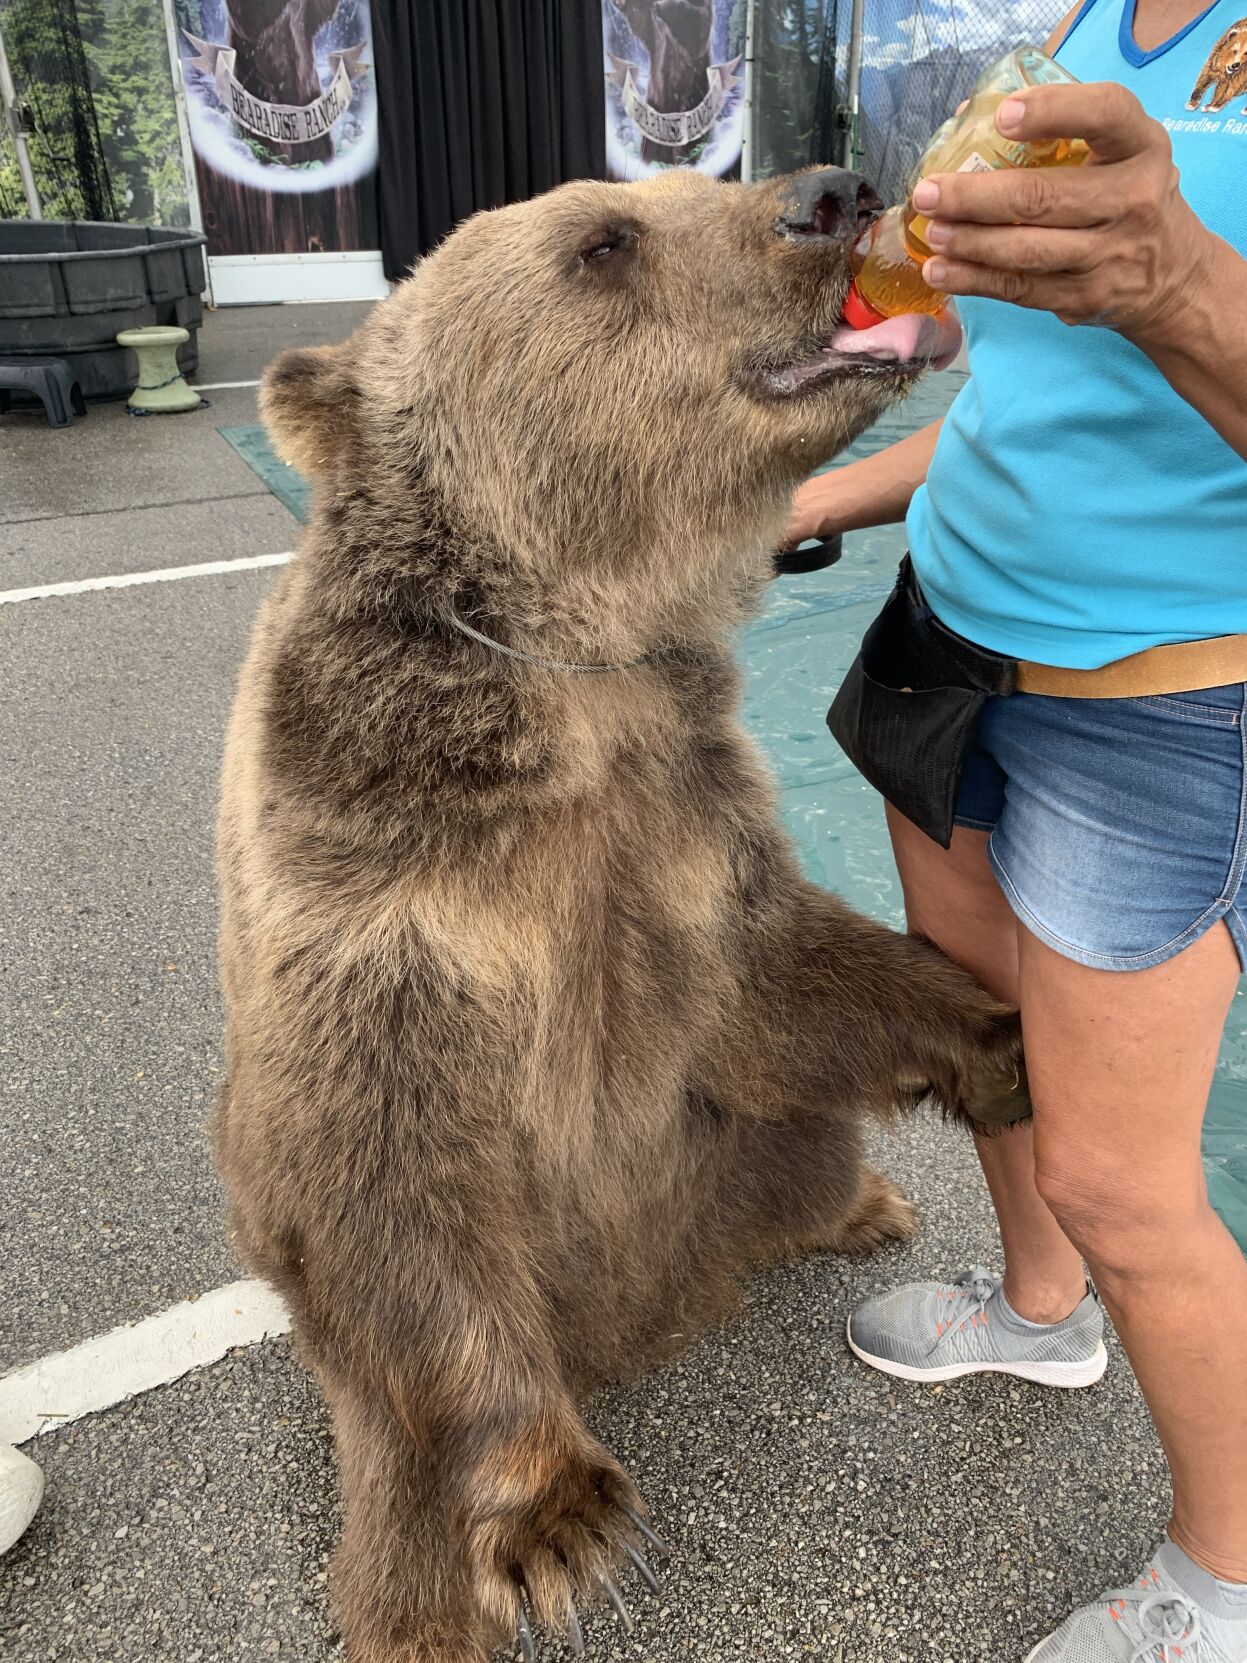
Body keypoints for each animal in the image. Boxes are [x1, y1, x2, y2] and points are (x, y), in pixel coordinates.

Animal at [216, 164, 1023, 1663]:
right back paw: (419, 1610)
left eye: (699, 179)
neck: (573, 657)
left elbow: (780, 968)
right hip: (376, 1428)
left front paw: (993, 1037)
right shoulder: (376, 871)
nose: (831, 192)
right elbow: (383, 1157)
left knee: (798, 1146)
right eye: (602, 240)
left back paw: (860, 1204)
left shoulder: (681, 818)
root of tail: (653, 1319)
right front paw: (561, 1518)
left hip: (739, 1156)